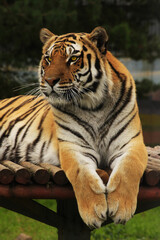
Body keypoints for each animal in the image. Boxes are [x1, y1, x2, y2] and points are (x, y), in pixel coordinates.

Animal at [0, 26, 148, 229]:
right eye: (48, 59)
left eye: (72, 59)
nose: (50, 80)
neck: (95, 106)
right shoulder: (74, 147)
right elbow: (82, 177)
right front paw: (94, 212)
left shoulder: (131, 144)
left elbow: (128, 170)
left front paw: (121, 208)